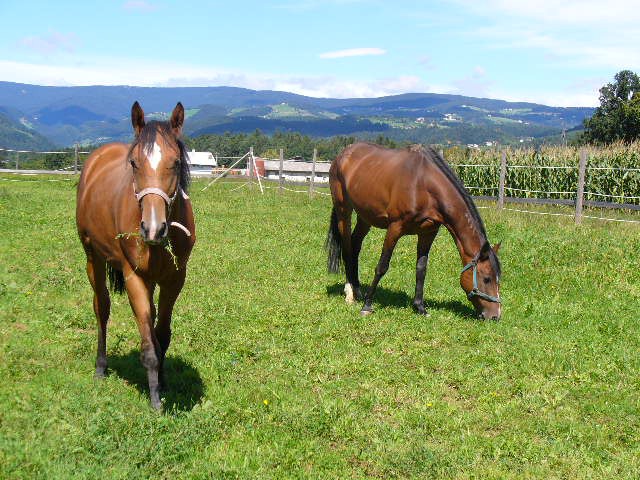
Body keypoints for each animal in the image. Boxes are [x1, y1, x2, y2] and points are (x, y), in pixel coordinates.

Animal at [76, 101, 195, 408]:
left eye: (176, 162)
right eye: (134, 163)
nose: (153, 228)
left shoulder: (174, 279)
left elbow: (161, 334)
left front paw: (162, 383)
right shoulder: (134, 278)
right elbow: (148, 343)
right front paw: (155, 400)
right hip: (93, 259)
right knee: (102, 308)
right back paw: (101, 366)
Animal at [328, 142, 502, 322]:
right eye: (486, 279)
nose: (495, 316)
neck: (423, 183)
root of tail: (343, 154)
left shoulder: (428, 232)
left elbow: (421, 269)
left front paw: (420, 307)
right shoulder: (395, 228)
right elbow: (382, 266)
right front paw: (367, 306)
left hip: (365, 217)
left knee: (355, 245)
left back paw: (357, 290)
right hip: (344, 210)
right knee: (347, 248)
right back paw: (350, 293)